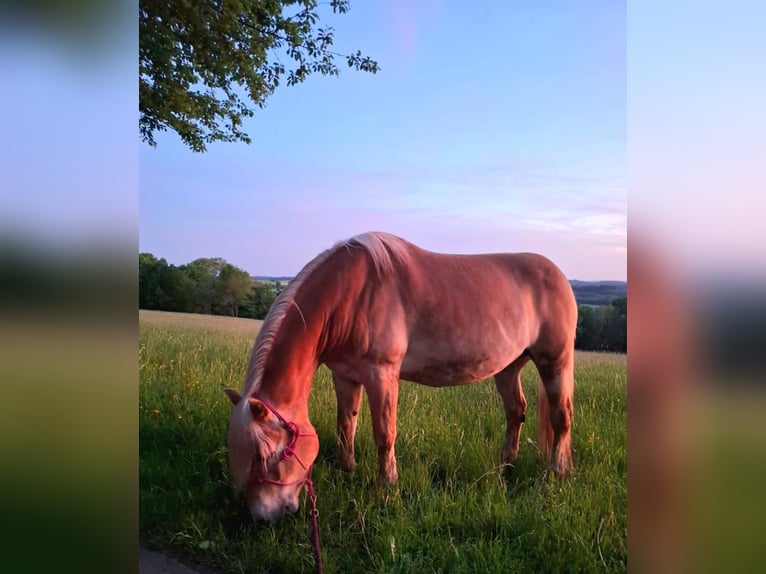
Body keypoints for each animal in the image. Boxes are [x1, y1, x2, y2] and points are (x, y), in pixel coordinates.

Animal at [224, 231, 577, 523]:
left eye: (268, 454)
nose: (264, 517)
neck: (351, 293)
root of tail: (559, 276)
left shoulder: (382, 374)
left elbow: (384, 434)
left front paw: (387, 487)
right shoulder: (345, 376)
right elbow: (346, 426)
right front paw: (347, 470)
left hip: (555, 362)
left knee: (561, 416)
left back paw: (558, 474)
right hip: (508, 368)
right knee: (516, 411)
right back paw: (506, 466)